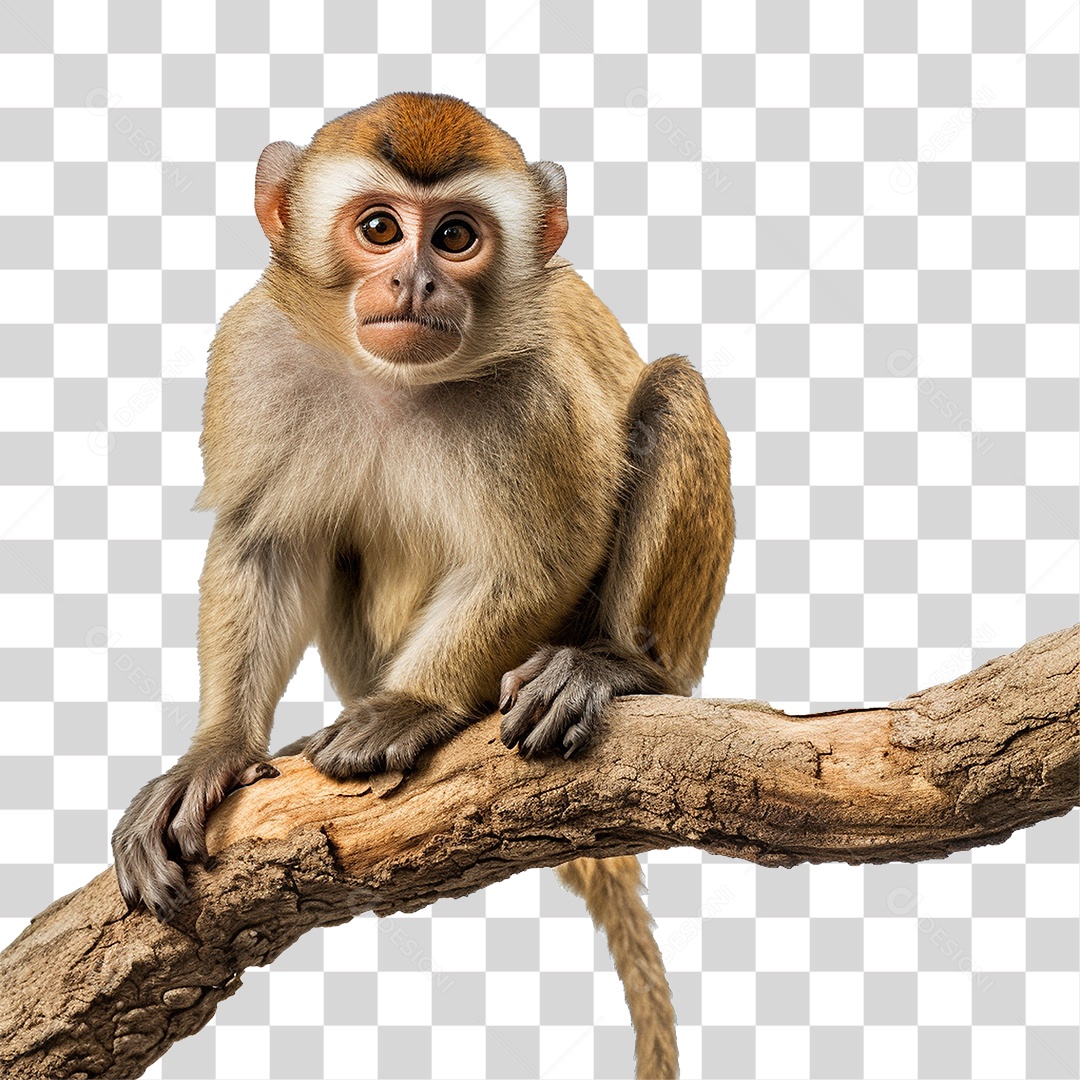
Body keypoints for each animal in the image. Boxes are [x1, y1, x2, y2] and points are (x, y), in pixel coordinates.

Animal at [111, 93, 734, 1080]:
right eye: (379, 229)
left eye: (454, 236)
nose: (414, 282)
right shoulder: (255, 351)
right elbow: (266, 542)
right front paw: (214, 753)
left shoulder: (533, 395)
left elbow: (545, 554)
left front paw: (416, 704)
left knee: (670, 391)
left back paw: (612, 667)